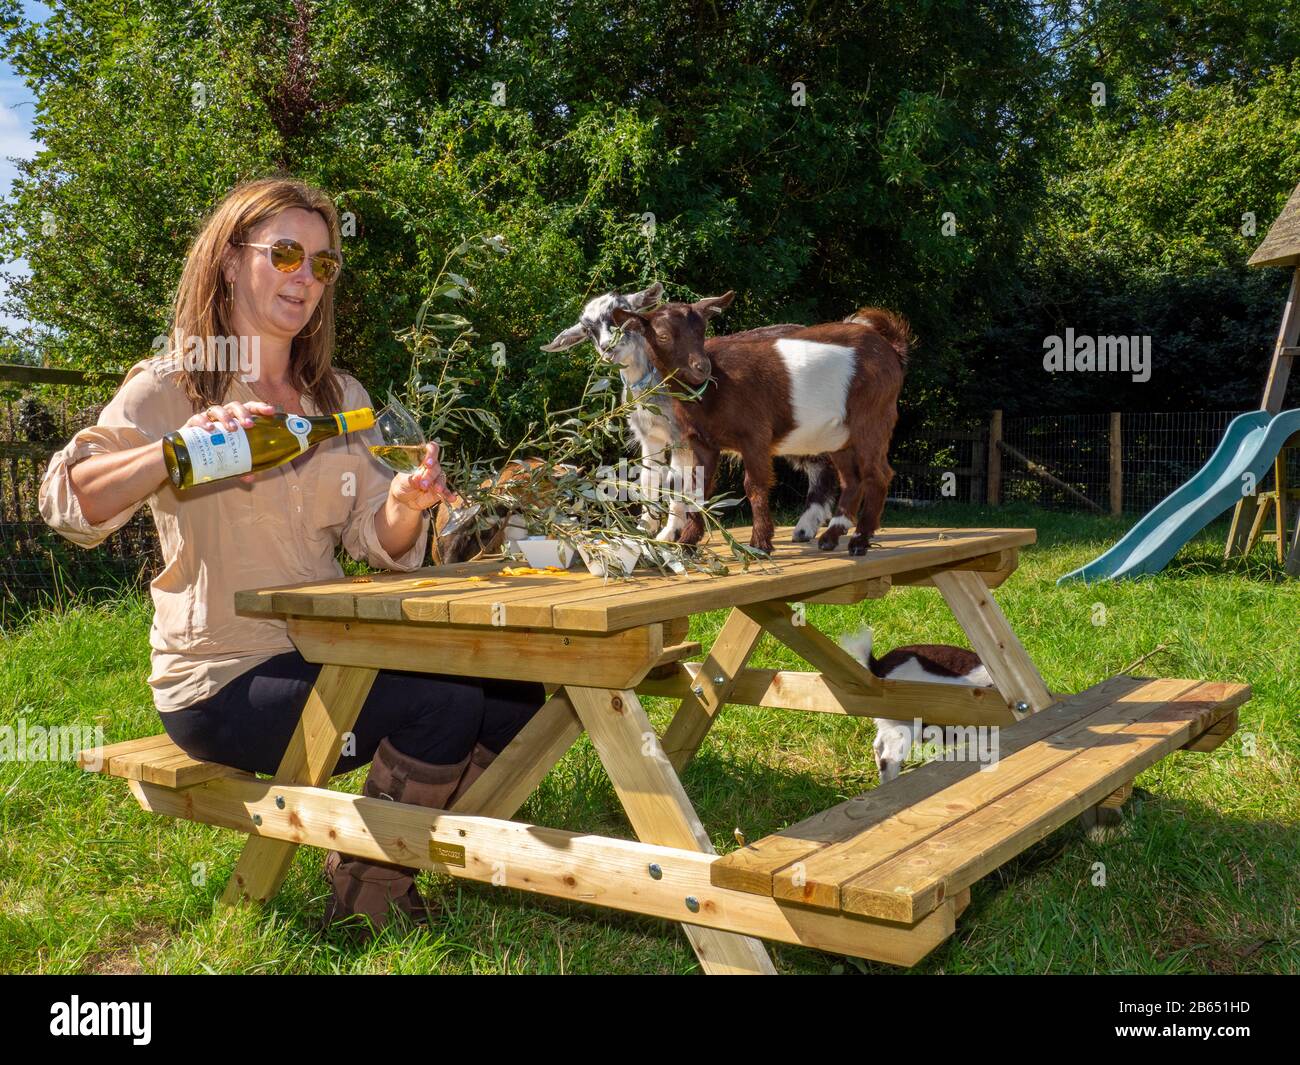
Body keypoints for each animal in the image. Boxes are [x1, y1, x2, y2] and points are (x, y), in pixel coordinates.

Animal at [611, 293, 909, 559]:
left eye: (701, 331)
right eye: (662, 336)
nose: (701, 367)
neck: (713, 388)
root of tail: (890, 348)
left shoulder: (754, 436)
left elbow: (754, 486)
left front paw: (759, 544)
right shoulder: (702, 442)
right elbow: (698, 488)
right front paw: (687, 544)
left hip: (872, 419)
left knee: (878, 474)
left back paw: (859, 541)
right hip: (838, 434)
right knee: (851, 479)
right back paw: (831, 537)